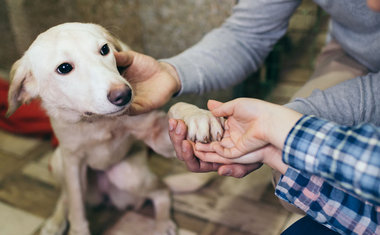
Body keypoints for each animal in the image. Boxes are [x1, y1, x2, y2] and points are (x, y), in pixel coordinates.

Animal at [5, 22, 224, 235]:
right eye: (64, 67)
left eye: (104, 49)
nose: (124, 94)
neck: (98, 121)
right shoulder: (72, 163)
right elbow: (76, 208)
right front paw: (75, 228)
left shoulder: (157, 135)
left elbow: (176, 108)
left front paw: (197, 116)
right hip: (58, 161)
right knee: (66, 196)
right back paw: (55, 222)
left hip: (130, 177)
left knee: (162, 191)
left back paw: (163, 224)